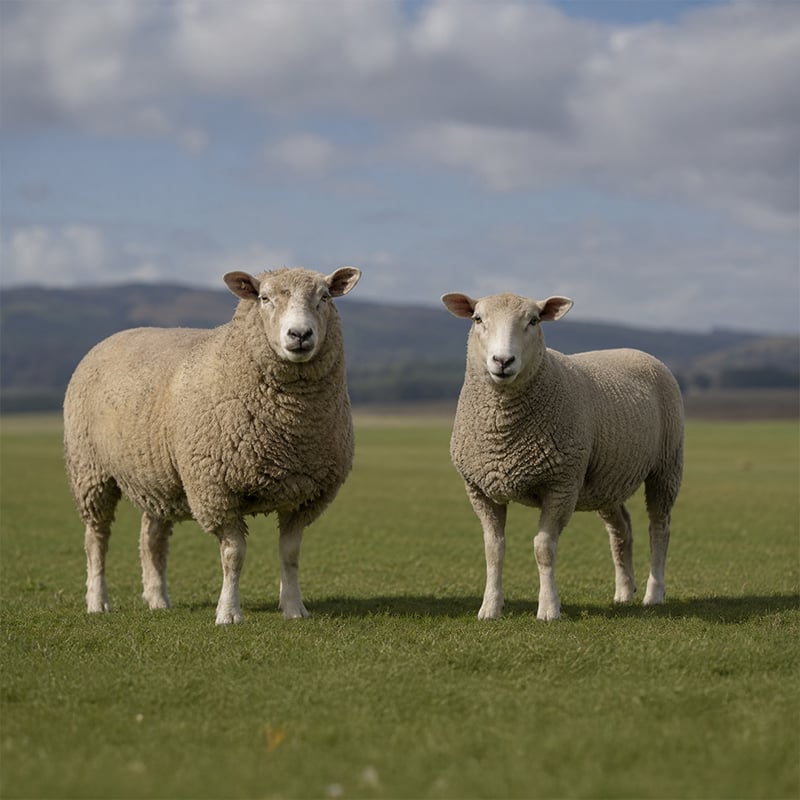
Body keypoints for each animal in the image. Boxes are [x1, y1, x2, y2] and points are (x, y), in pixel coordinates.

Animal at [64, 266, 361, 624]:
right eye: (264, 298)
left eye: (325, 297)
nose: (300, 334)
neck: (289, 424)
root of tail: (112, 337)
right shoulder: (216, 490)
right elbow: (233, 555)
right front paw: (229, 613)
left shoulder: (304, 495)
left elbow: (289, 554)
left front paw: (293, 608)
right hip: (90, 470)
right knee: (96, 538)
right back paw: (97, 601)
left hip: (158, 477)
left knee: (151, 538)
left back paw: (157, 598)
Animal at [441, 290, 683, 621]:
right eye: (478, 319)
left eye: (534, 321)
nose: (503, 361)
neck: (503, 431)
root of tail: (637, 351)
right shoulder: (480, 489)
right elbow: (493, 550)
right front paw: (490, 607)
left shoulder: (561, 485)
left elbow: (543, 548)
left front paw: (548, 609)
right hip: (605, 479)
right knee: (621, 529)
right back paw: (624, 592)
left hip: (666, 466)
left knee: (659, 527)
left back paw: (653, 594)